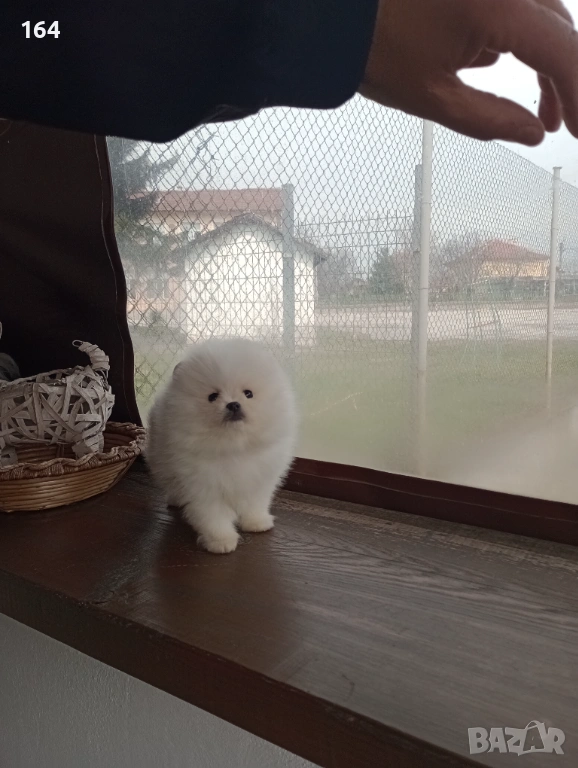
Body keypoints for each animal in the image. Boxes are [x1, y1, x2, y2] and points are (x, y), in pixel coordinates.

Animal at [146, 338, 297, 553]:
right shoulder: (204, 486)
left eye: (248, 393)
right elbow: (213, 516)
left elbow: (254, 504)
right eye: (212, 396)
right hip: (161, 460)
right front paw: (220, 541)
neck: (233, 447)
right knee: (171, 482)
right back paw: (175, 499)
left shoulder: (258, 479)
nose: (233, 404)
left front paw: (256, 523)